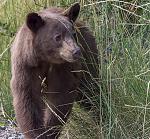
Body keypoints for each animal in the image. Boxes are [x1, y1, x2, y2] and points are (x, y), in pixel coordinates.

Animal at [10, 2, 97, 139]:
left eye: (73, 34)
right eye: (58, 37)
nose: (76, 51)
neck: (45, 59)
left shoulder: (63, 68)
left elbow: (60, 98)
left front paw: (50, 130)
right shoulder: (26, 66)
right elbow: (28, 99)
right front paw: (37, 133)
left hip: (88, 58)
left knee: (91, 92)